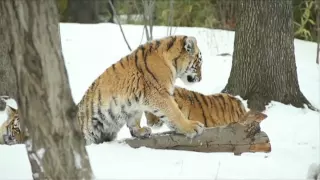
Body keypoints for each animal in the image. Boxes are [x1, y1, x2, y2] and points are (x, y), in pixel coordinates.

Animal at [76, 35, 204, 145]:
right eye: (199, 62)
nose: (200, 79)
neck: (173, 63)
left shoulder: (135, 101)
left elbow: (134, 118)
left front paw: (139, 131)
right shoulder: (160, 93)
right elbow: (175, 112)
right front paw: (192, 127)